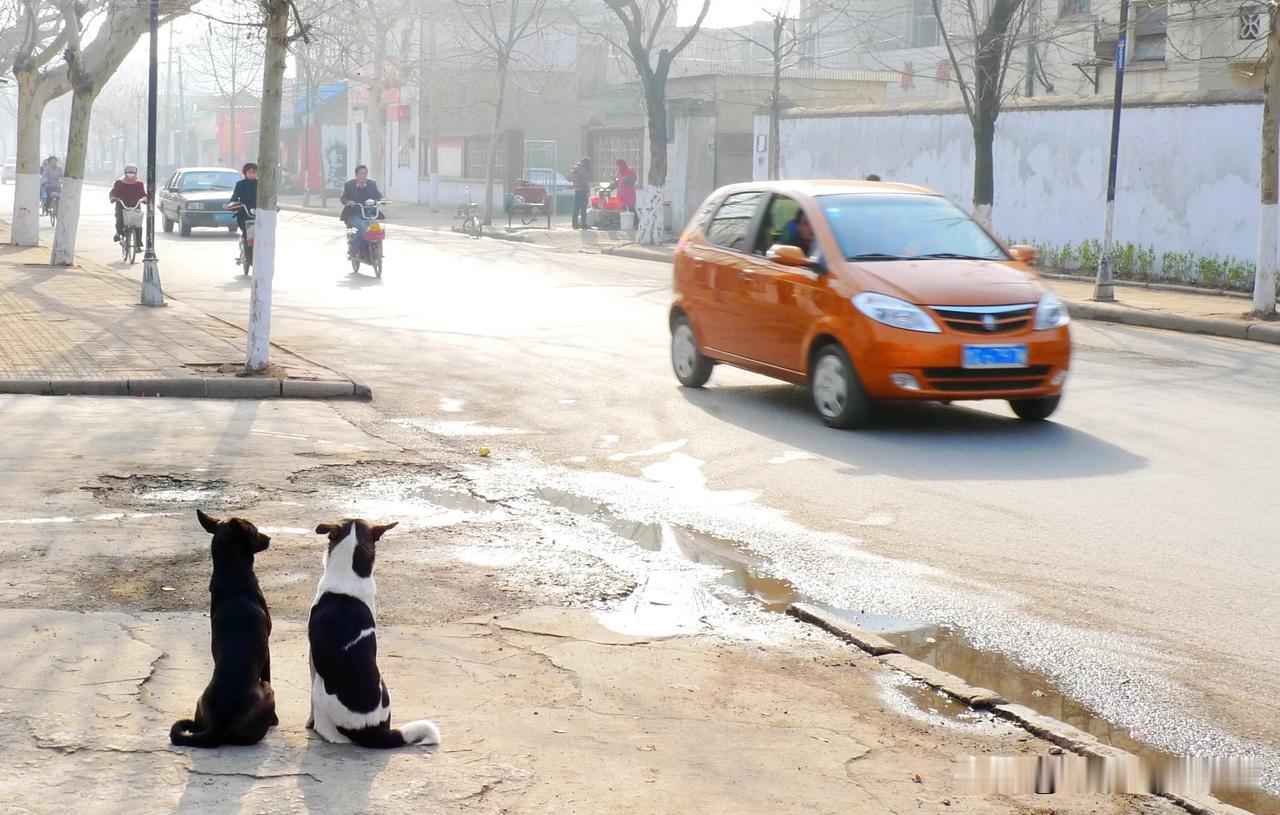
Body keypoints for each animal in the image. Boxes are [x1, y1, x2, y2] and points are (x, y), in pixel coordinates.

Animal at [170, 511, 277, 747]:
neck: (232, 573)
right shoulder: (267, 652)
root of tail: (219, 725)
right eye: (255, 531)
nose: (269, 537)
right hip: (267, 690)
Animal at [305, 516, 440, 747]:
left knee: (331, 733)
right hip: (386, 691)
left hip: (320, 690)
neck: (348, 574)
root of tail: (374, 731)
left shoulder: (312, 659)